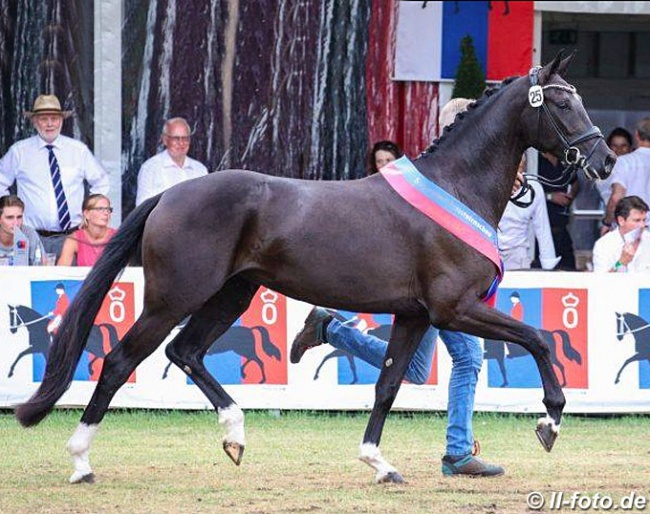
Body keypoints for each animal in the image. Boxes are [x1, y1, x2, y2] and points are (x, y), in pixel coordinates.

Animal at [13, 52, 612, 484]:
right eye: (561, 104)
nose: (603, 160)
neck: (455, 186)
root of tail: (171, 195)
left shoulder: (415, 316)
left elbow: (387, 384)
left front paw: (379, 463)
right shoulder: (454, 310)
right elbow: (539, 339)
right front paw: (550, 419)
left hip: (231, 295)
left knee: (186, 352)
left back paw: (236, 434)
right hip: (174, 298)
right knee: (119, 361)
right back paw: (81, 462)